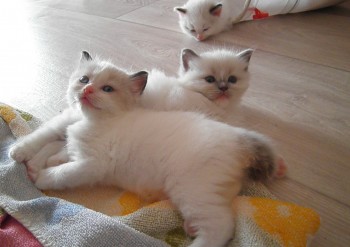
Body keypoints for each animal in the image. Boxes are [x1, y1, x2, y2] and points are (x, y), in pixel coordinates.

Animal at [10, 51, 282, 245]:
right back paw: (190, 227)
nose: (86, 90)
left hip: (190, 189)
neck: (88, 121)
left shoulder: (90, 165)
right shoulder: (70, 140)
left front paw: (38, 176)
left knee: (222, 227)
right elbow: (54, 147)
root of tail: (240, 137)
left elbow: (60, 172)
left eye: (107, 89)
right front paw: (35, 161)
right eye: (84, 80)